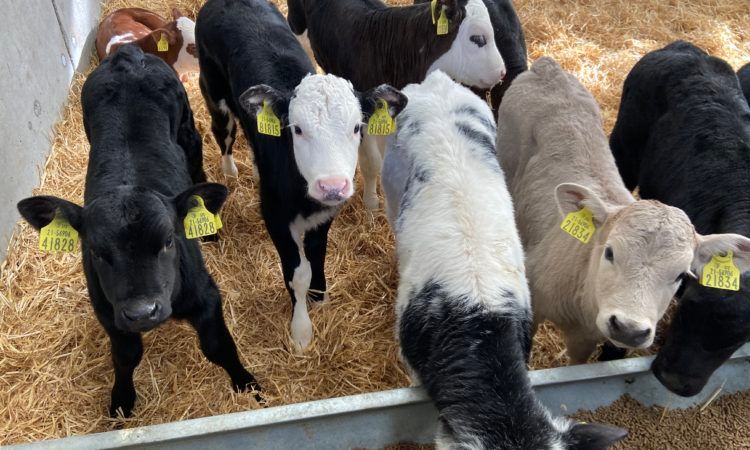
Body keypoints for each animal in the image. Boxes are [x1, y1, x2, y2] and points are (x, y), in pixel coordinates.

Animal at [16, 45, 259, 417]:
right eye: (96, 251)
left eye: (169, 240)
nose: (143, 311)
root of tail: (127, 54)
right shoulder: (108, 311)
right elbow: (125, 356)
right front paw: (121, 400)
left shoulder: (205, 292)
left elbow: (218, 345)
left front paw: (247, 385)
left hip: (188, 129)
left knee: (196, 159)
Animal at [196, 0, 406, 352]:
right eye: (297, 129)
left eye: (357, 127)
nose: (332, 185)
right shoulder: (276, 218)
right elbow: (298, 272)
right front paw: (301, 330)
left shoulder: (324, 214)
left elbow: (317, 254)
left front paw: (319, 297)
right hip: (215, 96)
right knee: (223, 133)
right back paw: (230, 172)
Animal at [496, 56, 750, 365]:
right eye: (609, 252)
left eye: (681, 276)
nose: (629, 329)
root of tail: (547, 68)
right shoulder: (534, 305)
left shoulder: (587, 337)